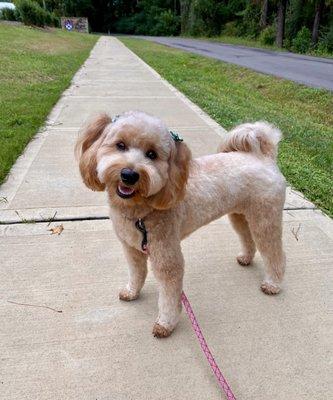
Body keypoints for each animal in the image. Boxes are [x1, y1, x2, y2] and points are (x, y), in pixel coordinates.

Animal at [76, 110, 286, 338]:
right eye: (120, 145)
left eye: (152, 154)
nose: (129, 175)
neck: (141, 210)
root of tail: (265, 157)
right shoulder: (132, 249)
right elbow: (137, 273)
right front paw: (132, 292)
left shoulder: (166, 255)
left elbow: (169, 294)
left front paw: (165, 323)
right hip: (240, 215)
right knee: (248, 238)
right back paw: (246, 258)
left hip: (265, 218)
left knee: (274, 253)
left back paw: (273, 283)